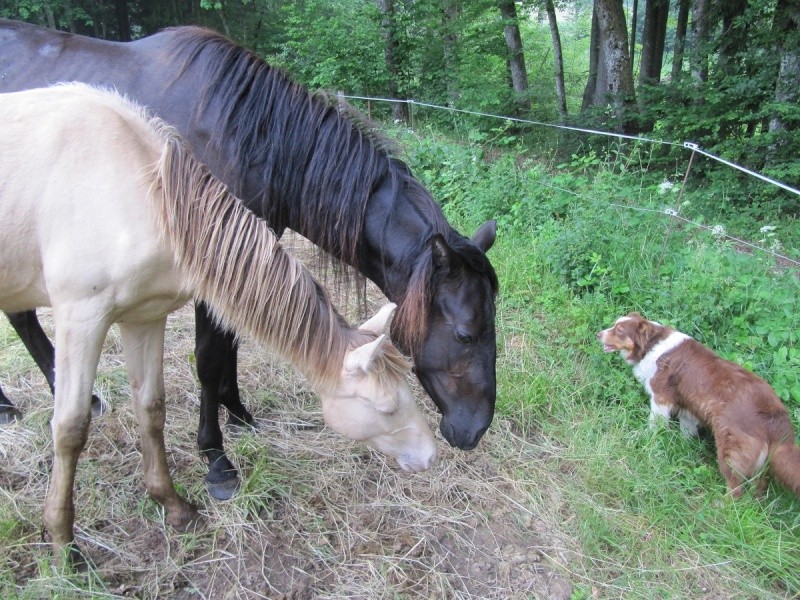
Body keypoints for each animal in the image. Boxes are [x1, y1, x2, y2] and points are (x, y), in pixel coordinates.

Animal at [0, 18, 500, 500]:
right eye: (466, 333)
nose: (474, 430)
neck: (248, 135)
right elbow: (209, 358)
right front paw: (216, 458)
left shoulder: (243, 260)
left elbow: (232, 346)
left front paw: (237, 412)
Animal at [0, 83, 438, 564]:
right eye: (387, 408)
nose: (431, 455)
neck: (142, 194)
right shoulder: (81, 318)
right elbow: (70, 428)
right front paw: (62, 541)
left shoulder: (144, 317)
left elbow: (151, 409)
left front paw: (172, 505)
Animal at [596, 312, 800, 500]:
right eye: (614, 324)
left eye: (619, 330)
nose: (598, 334)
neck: (651, 345)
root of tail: (775, 413)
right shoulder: (688, 407)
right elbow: (687, 431)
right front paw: (682, 447)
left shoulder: (661, 399)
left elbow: (655, 425)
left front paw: (647, 439)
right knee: (759, 484)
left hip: (731, 449)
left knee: (735, 488)